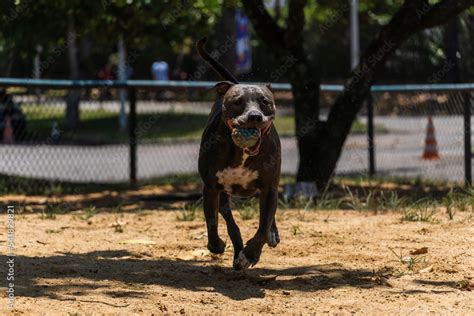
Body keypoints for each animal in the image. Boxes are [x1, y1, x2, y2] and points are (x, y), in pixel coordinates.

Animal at [196, 38, 282, 270]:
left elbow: (262, 227)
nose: (254, 116)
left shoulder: (269, 188)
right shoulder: (212, 188)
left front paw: (251, 253)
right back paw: (236, 253)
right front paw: (217, 245)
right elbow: (213, 223)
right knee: (230, 222)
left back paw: (269, 237)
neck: (241, 152)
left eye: (265, 101)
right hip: (224, 196)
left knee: (267, 220)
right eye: (237, 102)